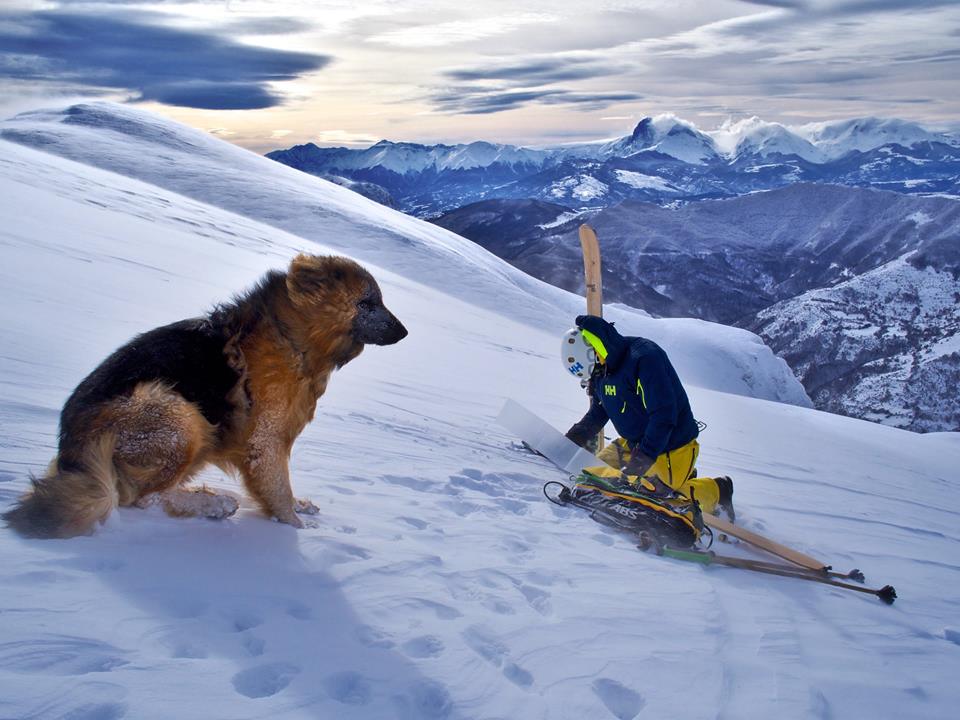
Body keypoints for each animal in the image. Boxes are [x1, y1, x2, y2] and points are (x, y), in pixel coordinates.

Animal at [0, 256, 404, 536]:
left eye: (379, 300)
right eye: (367, 303)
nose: (404, 332)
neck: (293, 335)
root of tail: (70, 452)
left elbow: (284, 491)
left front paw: (299, 506)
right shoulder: (265, 441)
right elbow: (278, 491)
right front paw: (297, 532)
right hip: (177, 416)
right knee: (137, 497)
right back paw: (213, 504)